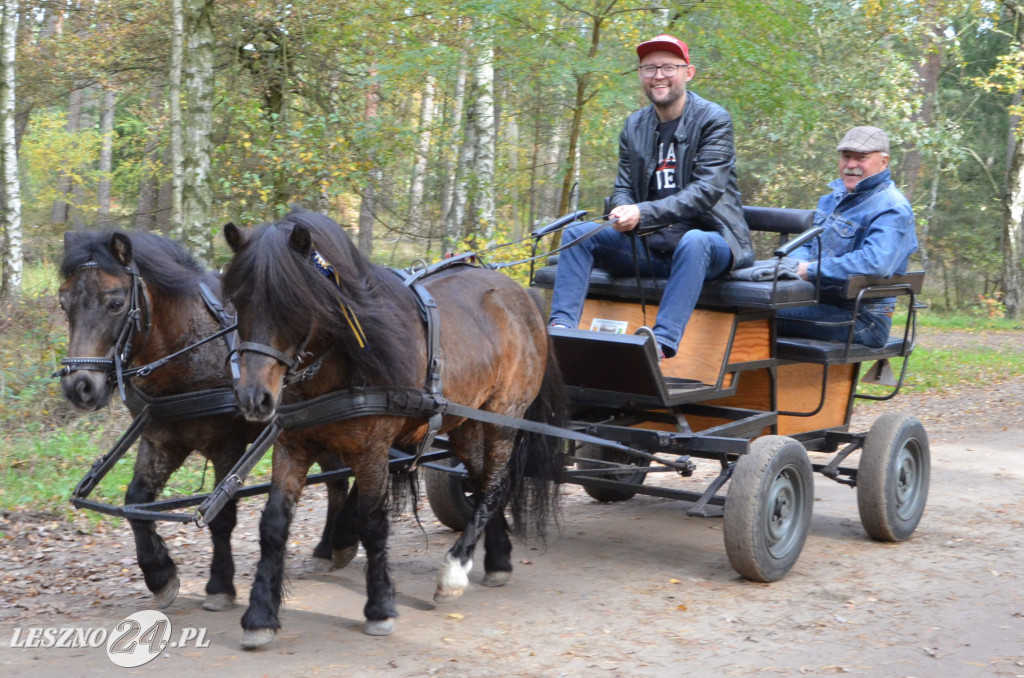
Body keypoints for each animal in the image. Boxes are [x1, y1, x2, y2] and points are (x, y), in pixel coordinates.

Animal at [58, 231, 352, 614]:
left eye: (116, 303)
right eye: (64, 302)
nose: (79, 387)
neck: (192, 347)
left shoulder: (227, 445)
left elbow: (222, 516)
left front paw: (219, 585)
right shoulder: (161, 440)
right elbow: (136, 502)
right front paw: (160, 575)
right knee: (337, 478)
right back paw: (329, 547)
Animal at [221, 210, 569, 647]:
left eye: (293, 303)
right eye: (237, 302)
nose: (254, 398)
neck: (345, 361)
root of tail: (520, 294)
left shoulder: (372, 450)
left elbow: (373, 523)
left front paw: (380, 608)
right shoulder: (293, 445)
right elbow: (273, 525)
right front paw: (259, 615)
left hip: (504, 416)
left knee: (491, 486)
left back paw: (454, 570)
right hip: (466, 422)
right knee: (487, 482)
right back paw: (498, 558)